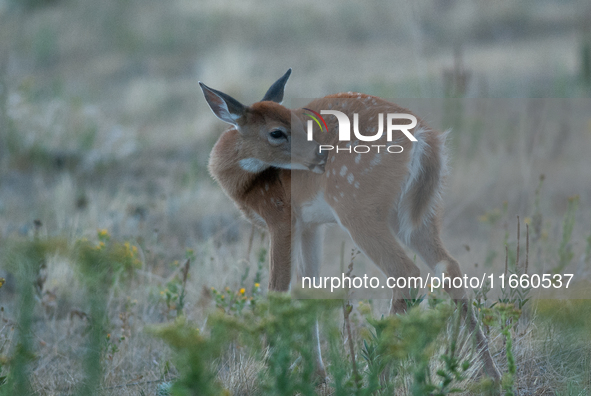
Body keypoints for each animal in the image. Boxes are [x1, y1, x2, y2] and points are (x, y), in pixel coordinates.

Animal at [201, 69, 502, 382]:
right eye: (276, 132)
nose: (320, 155)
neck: (249, 182)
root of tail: (425, 139)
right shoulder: (310, 225)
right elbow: (308, 289)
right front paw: (318, 375)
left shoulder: (280, 215)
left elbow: (278, 291)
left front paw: (272, 371)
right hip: (420, 211)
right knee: (448, 266)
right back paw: (492, 374)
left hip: (356, 206)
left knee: (406, 272)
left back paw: (379, 377)